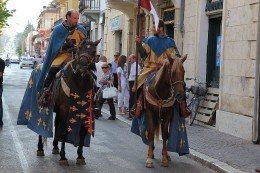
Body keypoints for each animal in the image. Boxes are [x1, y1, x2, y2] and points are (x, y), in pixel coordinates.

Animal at [37, 38, 100, 166]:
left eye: (93, 51)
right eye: (79, 48)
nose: (81, 66)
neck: (79, 82)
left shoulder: (85, 112)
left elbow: (82, 132)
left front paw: (80, 156)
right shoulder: (65, 110)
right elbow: (64, 131)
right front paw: (63, 157)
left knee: (56, 124)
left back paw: (55, 147)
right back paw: (40, 148)